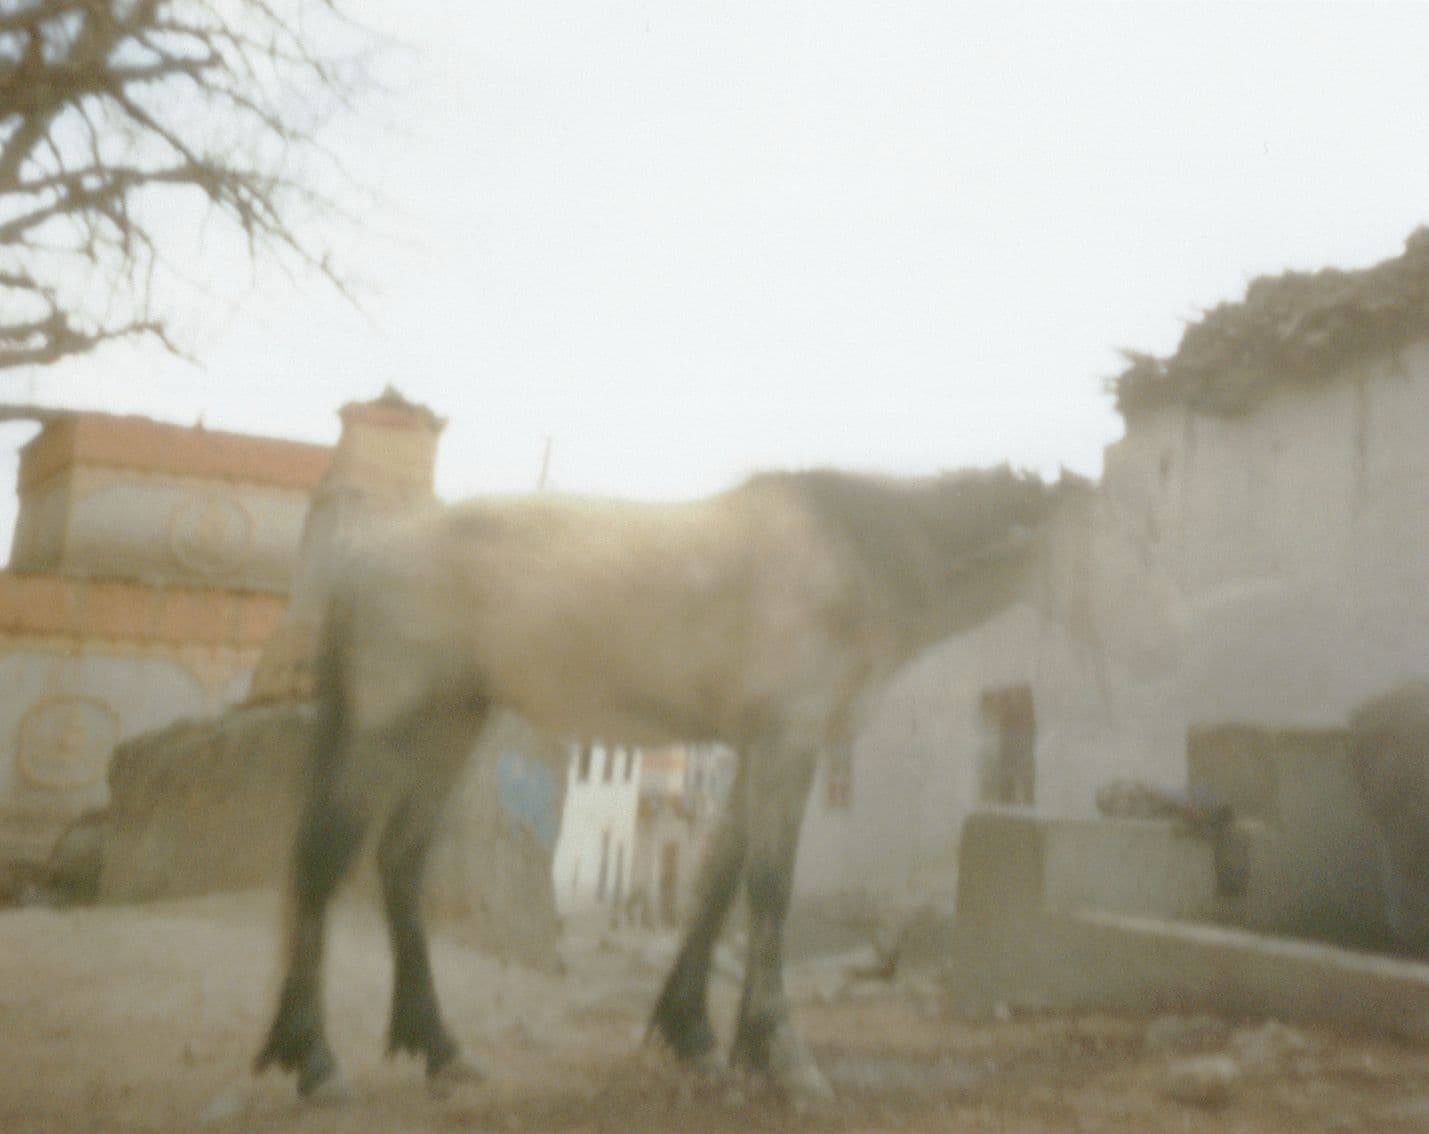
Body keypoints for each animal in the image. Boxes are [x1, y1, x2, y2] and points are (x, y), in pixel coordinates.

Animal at [255, 464, 1064, 1104]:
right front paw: (782, 1058)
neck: (853, 553)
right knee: (322, 858)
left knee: (400, 860)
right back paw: (315, 1060)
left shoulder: (758, 751)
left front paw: (700, 1036)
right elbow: (768, 889)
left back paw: (440, 1049)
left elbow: (716, 884)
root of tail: (367, 556)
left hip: (452, 724)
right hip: (388, 726)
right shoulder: (788, 743)